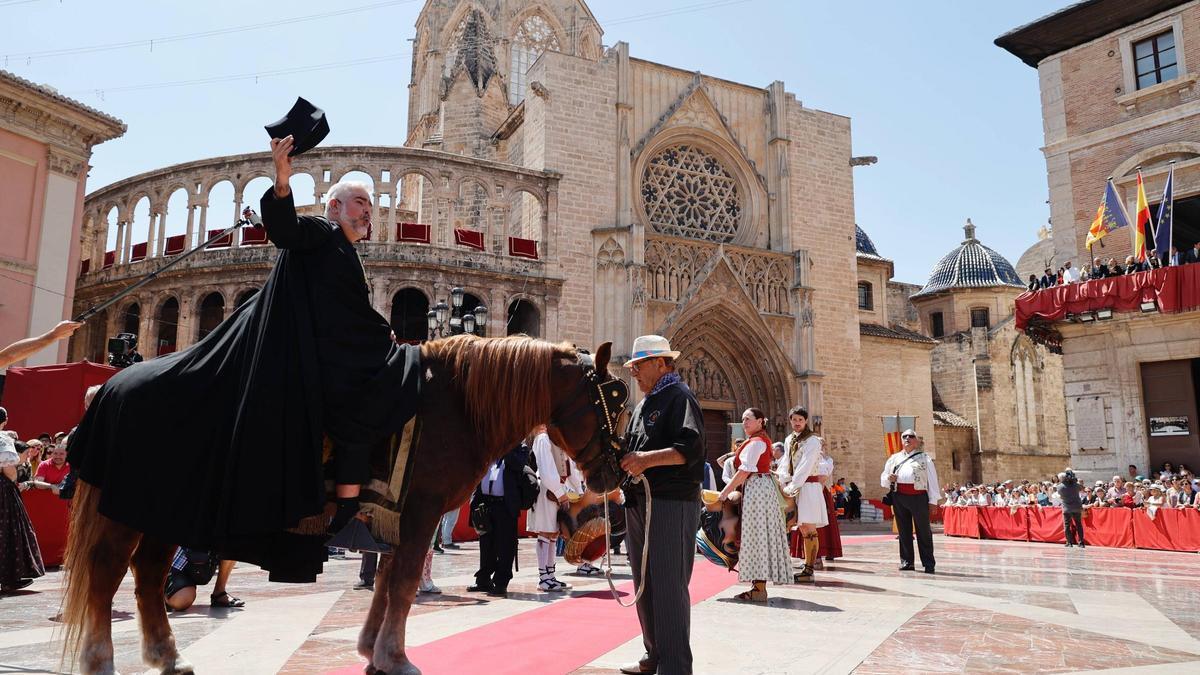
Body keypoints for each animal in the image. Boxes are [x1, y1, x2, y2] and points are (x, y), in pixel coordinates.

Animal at [59, 333, 624, 672]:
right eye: (609, 402)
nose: (615, 474)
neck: (457, 404)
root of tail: (110, 385)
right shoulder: (420, 512)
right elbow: (402, 584)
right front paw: (395, 657)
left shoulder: (394, 517)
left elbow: (385, 583)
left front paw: (373, 650)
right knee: (107, 572)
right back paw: (100, 660)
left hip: (162, 507)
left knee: (147, 574)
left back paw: (166, 656)